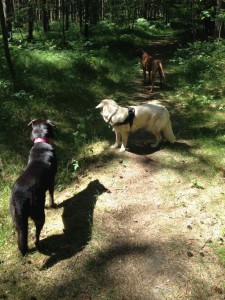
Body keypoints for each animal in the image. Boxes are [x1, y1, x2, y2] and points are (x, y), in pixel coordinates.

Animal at [9, 119, 57, 255]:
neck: (41, 142)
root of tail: (19, 198)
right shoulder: (52, 181)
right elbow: (51, 194)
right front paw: (53, 205)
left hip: (17, 220)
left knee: (21, 238)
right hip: (39, 215)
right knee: (36, 237)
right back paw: (41, 247)